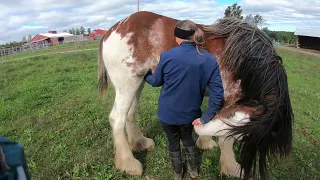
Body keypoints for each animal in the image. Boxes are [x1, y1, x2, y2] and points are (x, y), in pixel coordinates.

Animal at [97, 10, 292, 180]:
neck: (243, 61)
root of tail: (112, 30)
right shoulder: (228, 101)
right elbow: (226, 137)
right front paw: (232, 168)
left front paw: (205, 143)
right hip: (128, 84)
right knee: (117, 119)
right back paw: (129, 164)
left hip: (138, 83)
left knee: (130, 113)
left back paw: (139, 143)